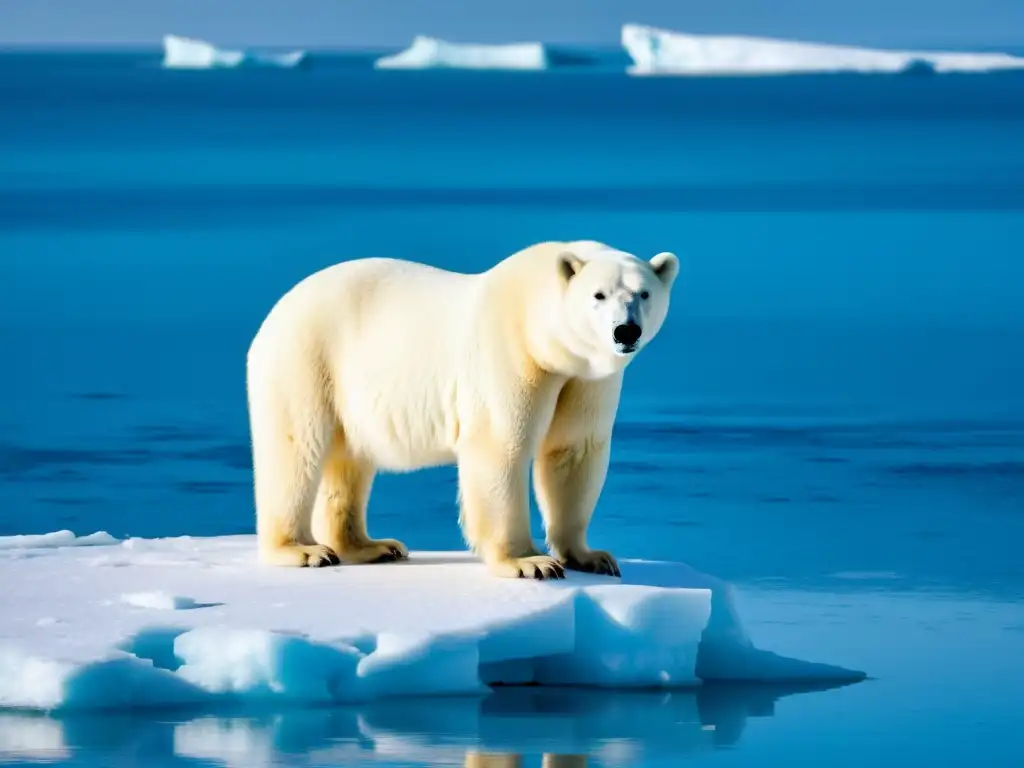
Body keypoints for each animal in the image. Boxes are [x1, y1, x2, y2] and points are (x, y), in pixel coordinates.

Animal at [245, 239, 679, 577]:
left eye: (643, 294)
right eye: (598, 295)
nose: (626, 331)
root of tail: (277, 309)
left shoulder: (586, 380)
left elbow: (573, 450)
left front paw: (591, 557)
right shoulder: (511, 353)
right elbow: (501, 446)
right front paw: (530, 562)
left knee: (348, 460)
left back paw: (372, 546)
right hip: (308, 359)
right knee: (296, 450)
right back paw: (302, 549)